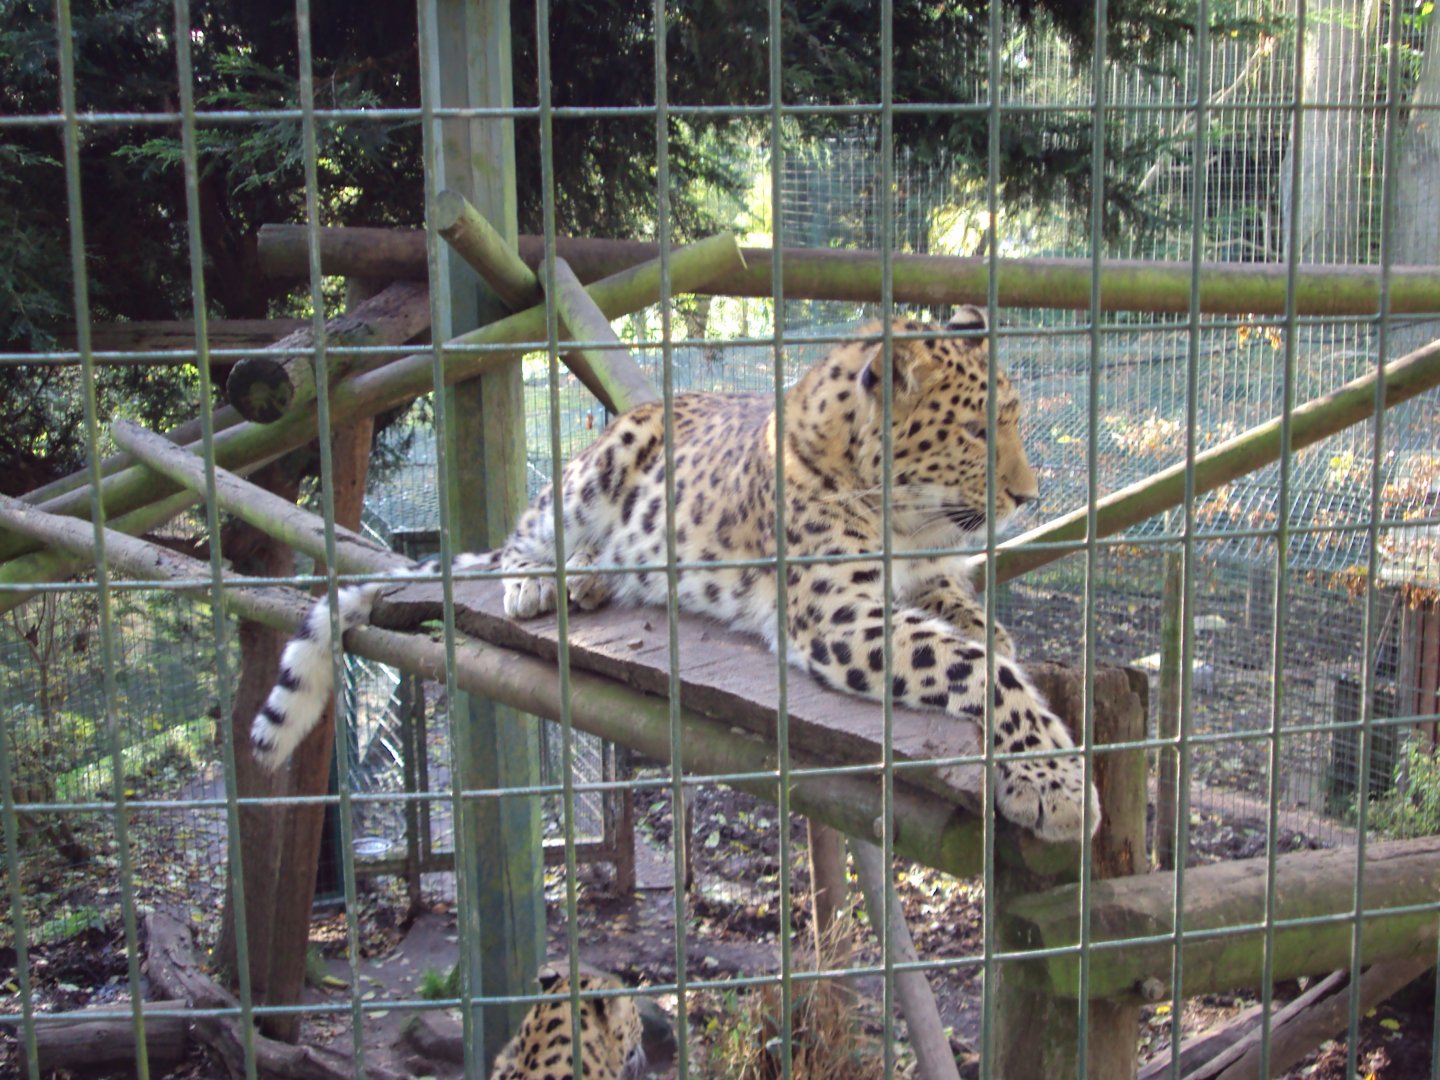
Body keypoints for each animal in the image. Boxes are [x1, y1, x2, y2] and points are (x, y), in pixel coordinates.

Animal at [251, 306, 1100, 843]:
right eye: (980, 432)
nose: (1029, 496)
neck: (903, 517)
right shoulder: (834, 615)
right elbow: (979, 670)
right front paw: (1057, 781)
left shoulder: (916, 577)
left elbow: (967, 617)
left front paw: (987, 623)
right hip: (598, 466)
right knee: (524, 532)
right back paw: (543, 578)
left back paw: (593, 578)